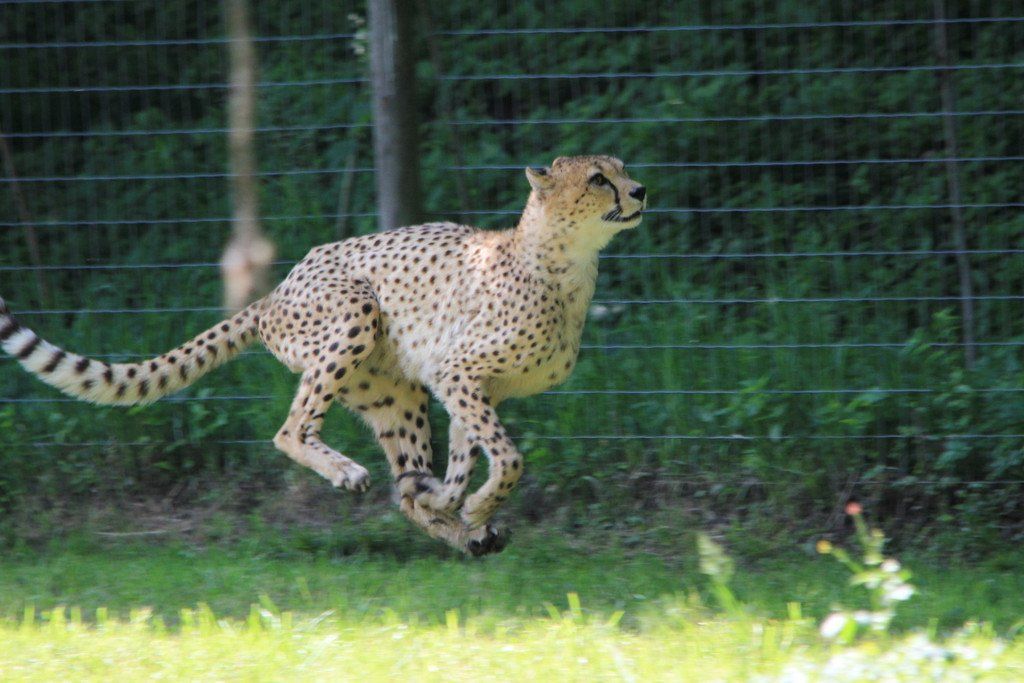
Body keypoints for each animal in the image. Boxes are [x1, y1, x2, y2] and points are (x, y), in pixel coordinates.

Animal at [0, 155, 647, 556]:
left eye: (621, 171)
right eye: (598, 178)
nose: (640, 191)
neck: (563, 263)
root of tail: (277, 289)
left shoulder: (470, 385)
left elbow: (465, 461)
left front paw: (460, 509)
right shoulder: (457, 371)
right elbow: (508, 459)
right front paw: (477, 507)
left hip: (394, 394)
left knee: (400, 485)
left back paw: (447, 520)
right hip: (353, 316)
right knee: (291, 428)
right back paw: (346, 472)